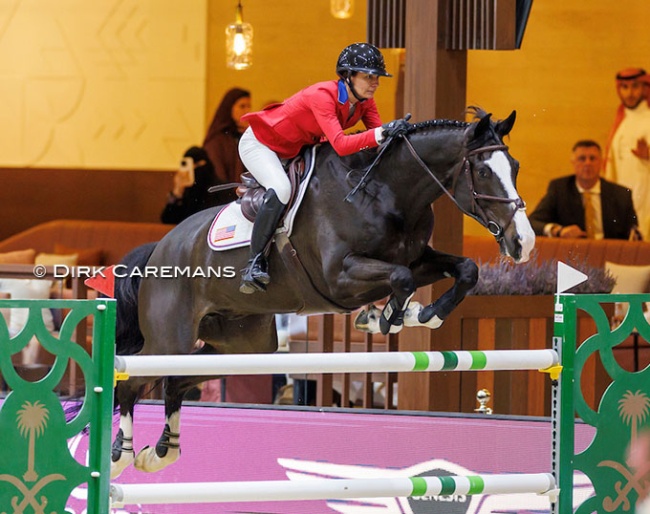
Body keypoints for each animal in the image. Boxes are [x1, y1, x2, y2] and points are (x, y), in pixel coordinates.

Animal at [110, 107, 532, 476]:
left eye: (515, 167)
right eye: (482, 170)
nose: (523, 243)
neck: (385, 191)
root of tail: (161, 248)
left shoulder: (416, 258)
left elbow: (464, 270)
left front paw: (421, 315)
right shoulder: (339, 277)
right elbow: (401, 279)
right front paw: (385, 318)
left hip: (243, 343)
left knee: (176, 380)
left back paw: (161, 453)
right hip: (170, 338)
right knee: (131, 382)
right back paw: (121, 455)